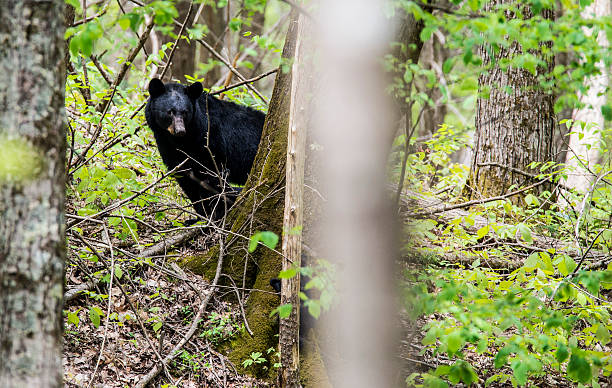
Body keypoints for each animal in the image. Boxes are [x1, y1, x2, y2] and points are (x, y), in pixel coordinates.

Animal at [147, 78, 266, 221]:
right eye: (170, 111)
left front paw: (216, 213)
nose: (180, 131)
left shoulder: (211, 141)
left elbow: (212, 176)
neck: (183, 141)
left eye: (185, 112)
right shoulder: (166, 146)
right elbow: (186, 179)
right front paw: (199, 215)